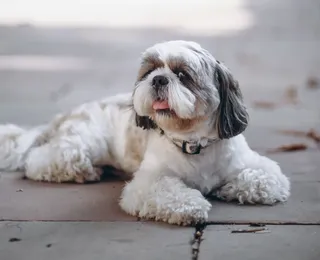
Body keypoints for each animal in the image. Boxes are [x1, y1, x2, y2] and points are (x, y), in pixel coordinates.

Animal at [0, 40, 290, 225]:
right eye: (150, 71)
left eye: (183, 75)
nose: (159, 79)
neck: (193, 143)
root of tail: (66, 114)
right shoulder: (149, 183)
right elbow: (171, 192)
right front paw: (193, 206)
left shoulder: (258, 167)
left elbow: (264, 181)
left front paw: (228, 188)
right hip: (83, 144)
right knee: (42, 159)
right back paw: (86, 171)